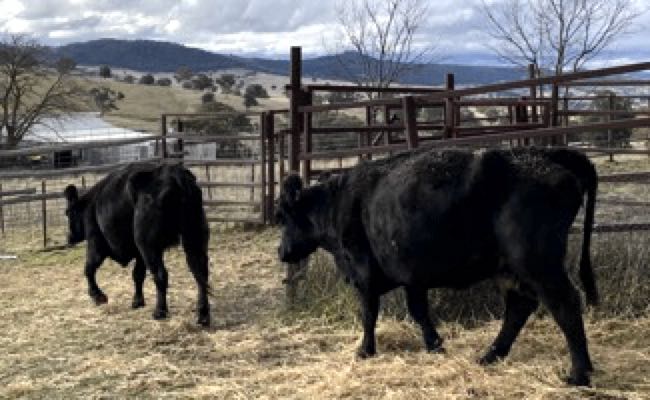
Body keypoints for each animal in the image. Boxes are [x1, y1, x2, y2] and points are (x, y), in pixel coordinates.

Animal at [63, 162, 211, 326]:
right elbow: (137, 275)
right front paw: (138, 301)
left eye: (68, 213)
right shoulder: (139, 253)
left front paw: (98, 296)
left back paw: (160, 311)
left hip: (148, 244)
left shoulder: (96, 244)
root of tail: (175, 175)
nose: (69, 238)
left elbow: (89, 269)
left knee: (160, 274)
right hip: (193, 237)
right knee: (200, 272)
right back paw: (202, 315)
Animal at [275, 147, 598, 386]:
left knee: (565, 305)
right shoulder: (411, 277)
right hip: (511, 270)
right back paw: (490, 355)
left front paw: (365, 351)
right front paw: (435, 346)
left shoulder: (364, 274)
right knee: (519, 308)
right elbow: (419, 312)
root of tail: (546, 157)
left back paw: (579, 374)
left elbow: (369, 315)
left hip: (539, 265)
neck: (338, 202)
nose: (281, 252)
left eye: (284, 217)